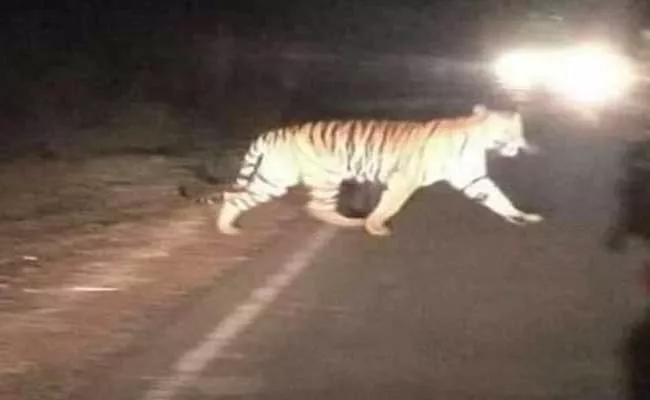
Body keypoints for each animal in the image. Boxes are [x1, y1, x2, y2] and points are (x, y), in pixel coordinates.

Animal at [200, 104, 540, 236]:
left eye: (521, 131)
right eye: (509, 132)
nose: (521, 144)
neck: (478, 141)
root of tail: (274, 132)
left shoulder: (473, 178)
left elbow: (498, 198)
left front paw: (521, 216)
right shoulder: (405, 180)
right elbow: (390, 205)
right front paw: (376, 226)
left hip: (273, 178)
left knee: (236, 198)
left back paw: (226, 227)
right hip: (320, 178)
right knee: (316, 207)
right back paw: (353, 222)